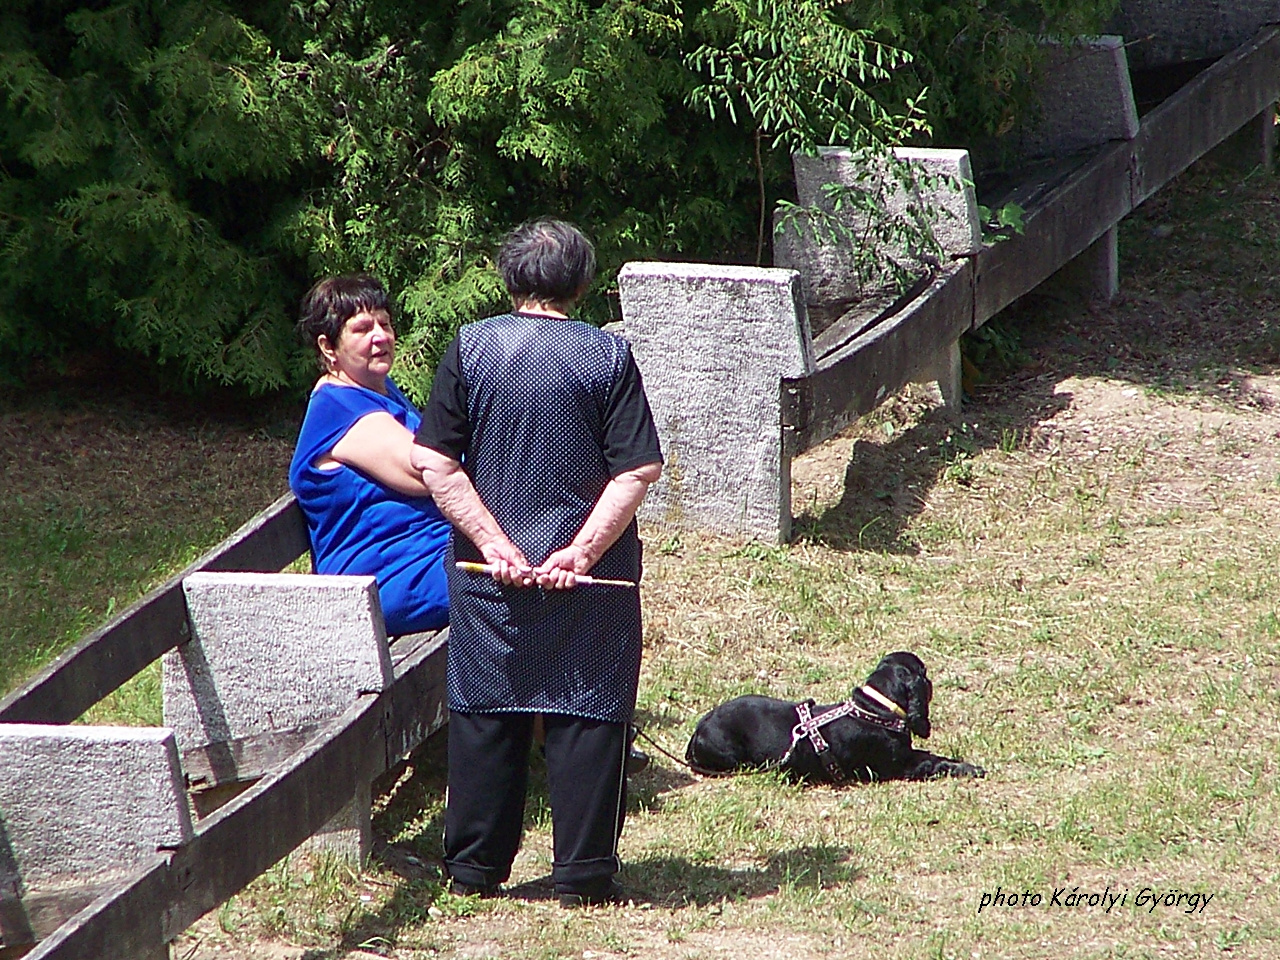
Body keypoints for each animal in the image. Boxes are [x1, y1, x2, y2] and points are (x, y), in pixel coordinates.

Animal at [686, 655, 983, 783]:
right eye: (924, 673)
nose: (931, 680)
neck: (875, 709)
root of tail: (698, 731)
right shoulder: (899, 765)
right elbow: (932, 763)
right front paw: (968, 768)